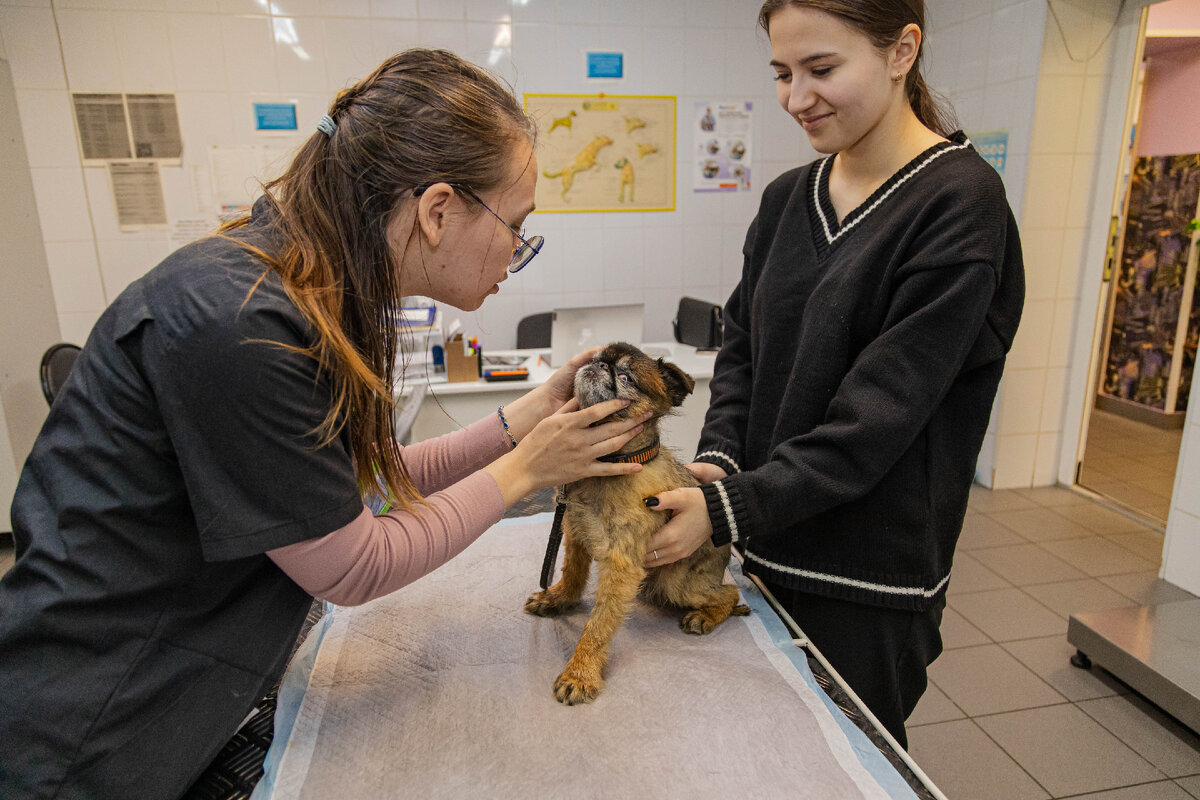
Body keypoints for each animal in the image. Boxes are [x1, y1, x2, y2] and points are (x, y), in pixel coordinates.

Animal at [528, 340, 748, 705]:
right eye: (598, 359)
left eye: (626, 377)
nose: (600, 364)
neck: (609, 465)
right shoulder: (575, 532)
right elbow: (572, 573)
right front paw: (558, 598)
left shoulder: (621, 567)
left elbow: (598, 625)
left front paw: (580, 672)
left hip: (678, 583)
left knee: (730, 593)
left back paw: (705, 616)